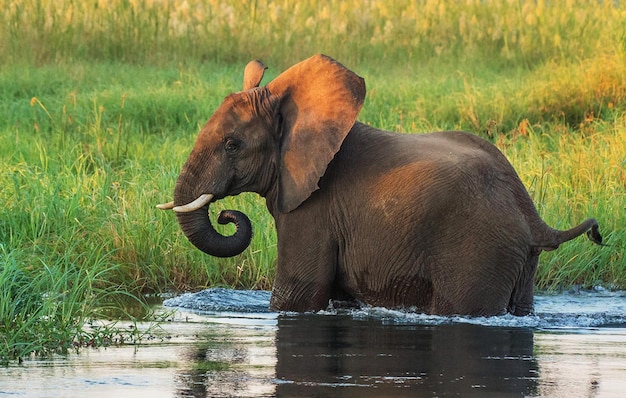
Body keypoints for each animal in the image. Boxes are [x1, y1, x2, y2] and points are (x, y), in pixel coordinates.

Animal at [158, 54, 604, 316]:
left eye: (232, 145)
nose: (227, 215)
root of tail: (531, 214)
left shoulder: (312, 212)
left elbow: (295, 296)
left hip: (479, 249)